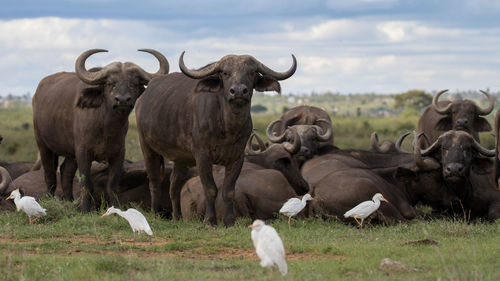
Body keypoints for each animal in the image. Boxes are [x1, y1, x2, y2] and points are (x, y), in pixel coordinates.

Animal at [33, 48, 170, 210]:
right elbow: (86, 183)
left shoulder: (118, 154)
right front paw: (85, 209)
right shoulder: (83, 152)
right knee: (49, 173)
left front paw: (115, 207)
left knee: (66, 172)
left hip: (70, 152)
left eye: (134, 83)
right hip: (43, 144)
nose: (122, 100)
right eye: (111, 83)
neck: (106, 127)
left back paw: (69, 201)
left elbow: (112, 184)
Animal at [136, 50, 296, 225]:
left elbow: (228, 190)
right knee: (154, 181)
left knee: (174, 185)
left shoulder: (237, 158)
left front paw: (229, 222)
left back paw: (177, 217)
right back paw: (154, 213)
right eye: (225, 73)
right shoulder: (202, 156)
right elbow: (211, 189)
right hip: (147, 148)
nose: (238, 91)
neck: (227, 127)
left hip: (181, 158)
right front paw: (210, 221)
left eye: (252, 72)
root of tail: (142, 98)